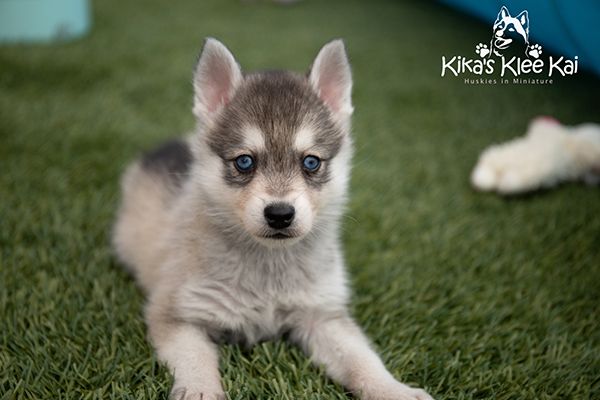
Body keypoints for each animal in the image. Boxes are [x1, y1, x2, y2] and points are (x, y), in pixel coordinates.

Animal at [111, 37, 432, 400]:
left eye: (311, 162)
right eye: (244, 162)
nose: (280, 214)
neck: (269, 268)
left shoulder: (323, 316)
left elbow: (362, 359)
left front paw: (394, 389)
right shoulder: (178, 313)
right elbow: (196, 361)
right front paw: (200, 391)